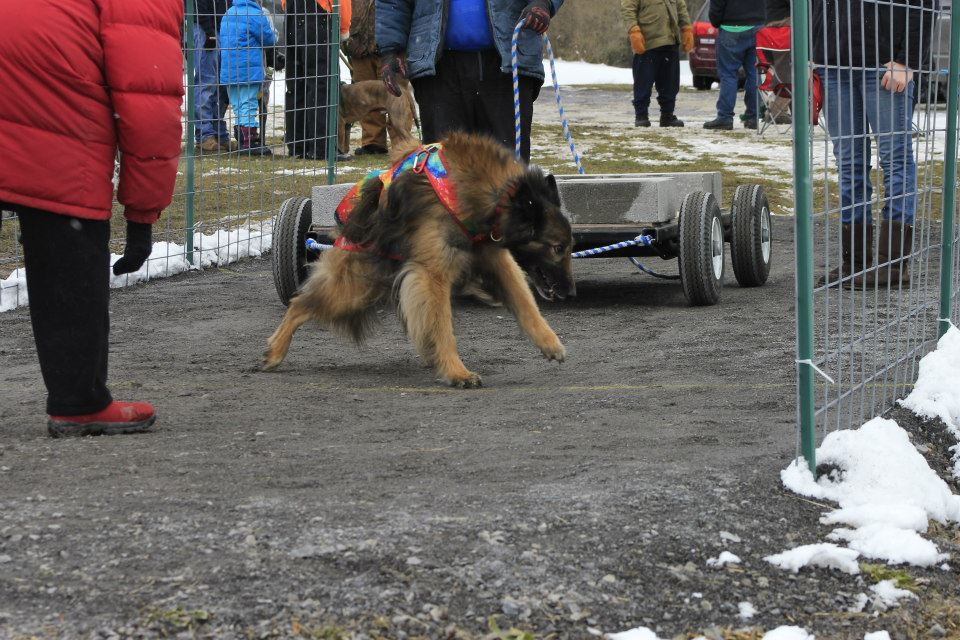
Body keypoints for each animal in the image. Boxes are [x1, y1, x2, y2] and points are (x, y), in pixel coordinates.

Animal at [262, 132, 572, 388]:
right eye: (557, 247)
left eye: (569, 247)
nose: (569, 292)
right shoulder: (432, 274)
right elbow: (442, 325)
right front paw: (457, 372)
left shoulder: (496, 259)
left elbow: (524, 302)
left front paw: (550, 342)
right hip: (355, 287)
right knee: (300, 304)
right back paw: (274, 351)